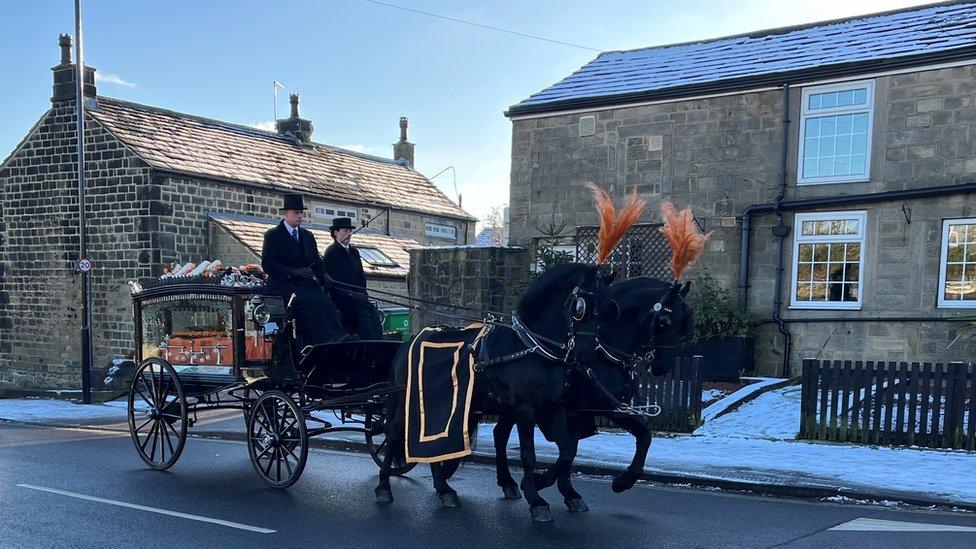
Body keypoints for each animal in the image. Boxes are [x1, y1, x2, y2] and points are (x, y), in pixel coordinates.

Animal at [376, 264, 616, 520]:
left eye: (607, 309)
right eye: (580, 307)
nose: (586, 355)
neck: (530, 347)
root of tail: (408, 341)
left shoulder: (553, 408)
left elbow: (568, 449)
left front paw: (548, 486)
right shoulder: (525, 410)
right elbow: (528, 454)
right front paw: (536, 498)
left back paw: (444, 489)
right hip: (409, 402)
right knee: (393, 435)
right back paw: (384, 486)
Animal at [488, 276, 692, 512]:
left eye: (683, 326)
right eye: (663, 324)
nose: (663, 368)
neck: (602, 351)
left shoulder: (599, 409)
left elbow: (643, 436)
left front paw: (621, 481)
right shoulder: (595, 407)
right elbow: (567, 451)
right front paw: (542, 482)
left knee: (500, 434)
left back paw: (507, 482)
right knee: (501, 434)